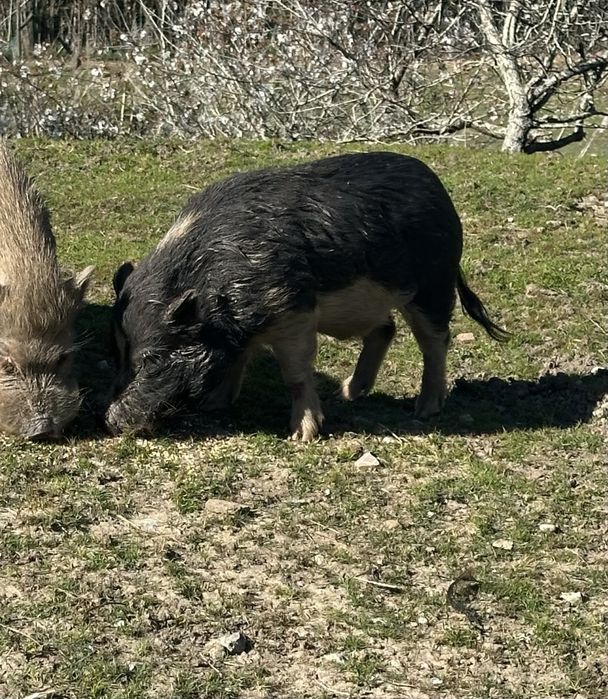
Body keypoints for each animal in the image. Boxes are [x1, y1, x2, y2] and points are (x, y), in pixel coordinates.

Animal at [106, 151, 506, 440]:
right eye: (118, 355)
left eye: (151, 360)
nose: (111, 420)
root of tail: (440, 192)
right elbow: (239, 360)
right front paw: (215, 406)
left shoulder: (292, 312)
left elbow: (295, 374)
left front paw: (302, 436)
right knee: (386, 328)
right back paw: (350, 393)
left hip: (432, 285)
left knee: (436, 342)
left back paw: (424, 409)